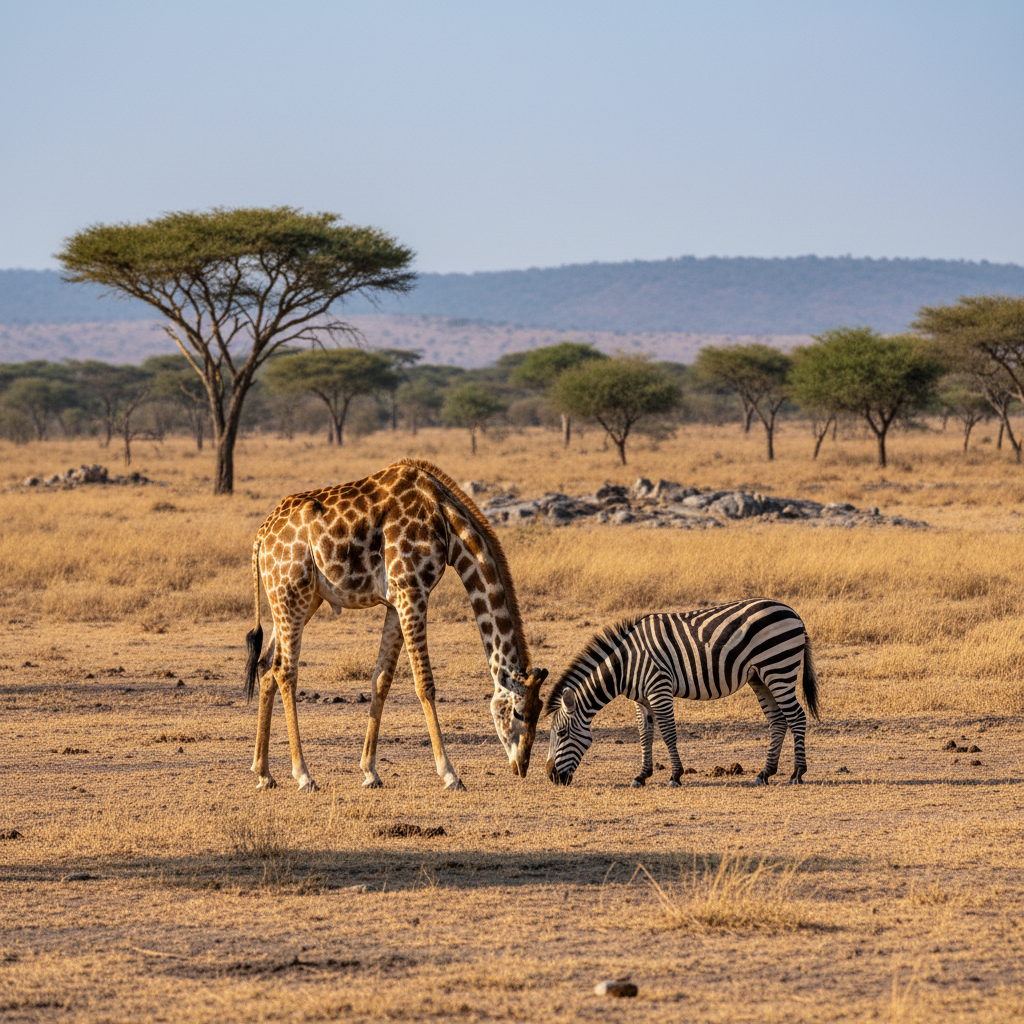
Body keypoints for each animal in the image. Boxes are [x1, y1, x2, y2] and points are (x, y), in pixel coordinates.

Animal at [243, 459, 548, 793]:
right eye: (519, 712)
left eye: (540, 712)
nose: (521, 766)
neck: (447, 522)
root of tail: (261, 536)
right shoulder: (411, 592)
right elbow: (425, 683)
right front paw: (450, 774)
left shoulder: (394, 602)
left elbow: (381, 680)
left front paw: (370, 772)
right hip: (291, 594)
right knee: (285, 669)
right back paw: (303, 775)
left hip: (299, 599)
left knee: (265, 665)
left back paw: (263, 773)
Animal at [544, 599, 819, 787]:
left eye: (561, 733)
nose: (551, 776)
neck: (626, 663)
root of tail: (794, 613)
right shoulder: (641, 700)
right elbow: (645, 735)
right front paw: (642, 776)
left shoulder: (659, 688)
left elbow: (668, 733)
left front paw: (675, 776)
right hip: (760, 677)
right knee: (778, 721)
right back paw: (765, 773)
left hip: (778, 668)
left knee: (797, 717)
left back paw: (797, 773)